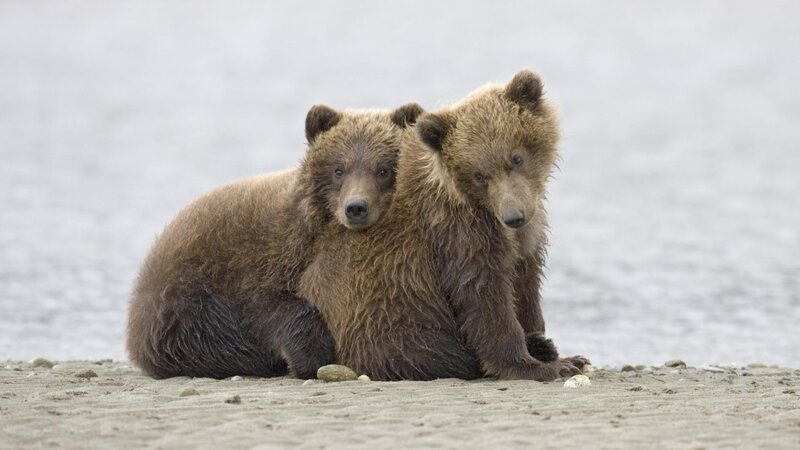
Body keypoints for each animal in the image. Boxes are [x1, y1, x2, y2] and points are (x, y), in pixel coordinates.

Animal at [126, 102, 425, 379]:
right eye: (339, 169)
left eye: (383, 169)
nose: (356, 207)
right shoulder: (261, 260)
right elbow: (272, 309)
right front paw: (312, 356)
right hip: (181, 299)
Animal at [297, 70, 588, 381]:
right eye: (478, 175)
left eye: (516, 158)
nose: (514, 215)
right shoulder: (458, 232)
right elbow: (484, 297)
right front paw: (542, 365)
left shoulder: (526, 237)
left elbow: (525, 285)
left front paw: (551, 346)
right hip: (384, 320)